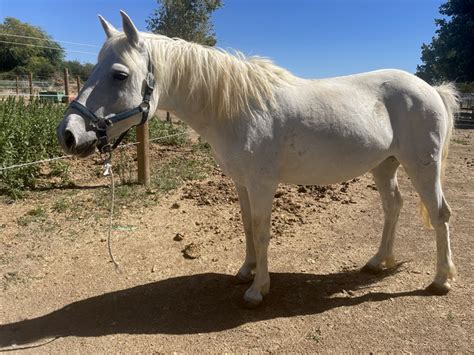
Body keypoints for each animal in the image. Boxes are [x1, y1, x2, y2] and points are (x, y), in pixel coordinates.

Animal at [56, 11, 460, 306]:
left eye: (119, 74)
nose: (69, 134)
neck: (238, 110)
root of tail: (431, 89)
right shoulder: (242, 182)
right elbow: (248, 227)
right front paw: (246, 271)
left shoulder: (263, 184)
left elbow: (263, 232)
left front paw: (257, 290)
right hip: (384, 165)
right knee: (393, 206)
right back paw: (378, 262)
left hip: (422, 166)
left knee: (440, 214)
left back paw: (441, 280)